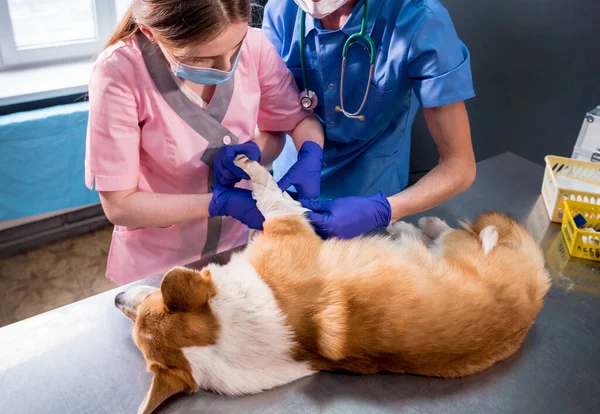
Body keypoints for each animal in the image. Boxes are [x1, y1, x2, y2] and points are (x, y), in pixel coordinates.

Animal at [115, 155, 552, 414]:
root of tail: (537, 288)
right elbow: (269, 194)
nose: (117, 297)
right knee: (448, 234)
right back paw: (413, 225)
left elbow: (266, 193)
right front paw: (250, 169)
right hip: (455, 248)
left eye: (146, 304)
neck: (231, 326)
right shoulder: (285, 221)